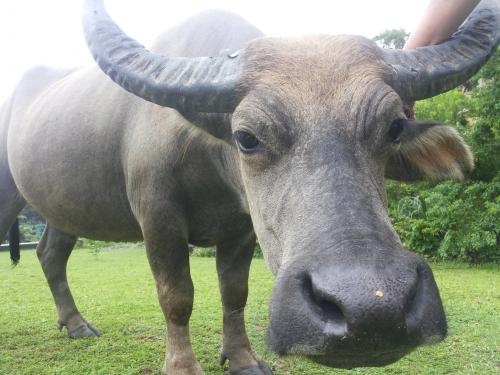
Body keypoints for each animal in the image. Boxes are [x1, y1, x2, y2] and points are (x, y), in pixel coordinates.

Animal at [0, 0, 498, 374]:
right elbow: (176, 297)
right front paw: (183, 367)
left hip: (62, 207)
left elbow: (233, 293)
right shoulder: (157, 218)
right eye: (246, 137)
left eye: (394, 127)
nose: (374, 310)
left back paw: (76, 324)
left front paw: (241, 359)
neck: (208, 162)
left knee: (50, 254)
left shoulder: (241, 229)